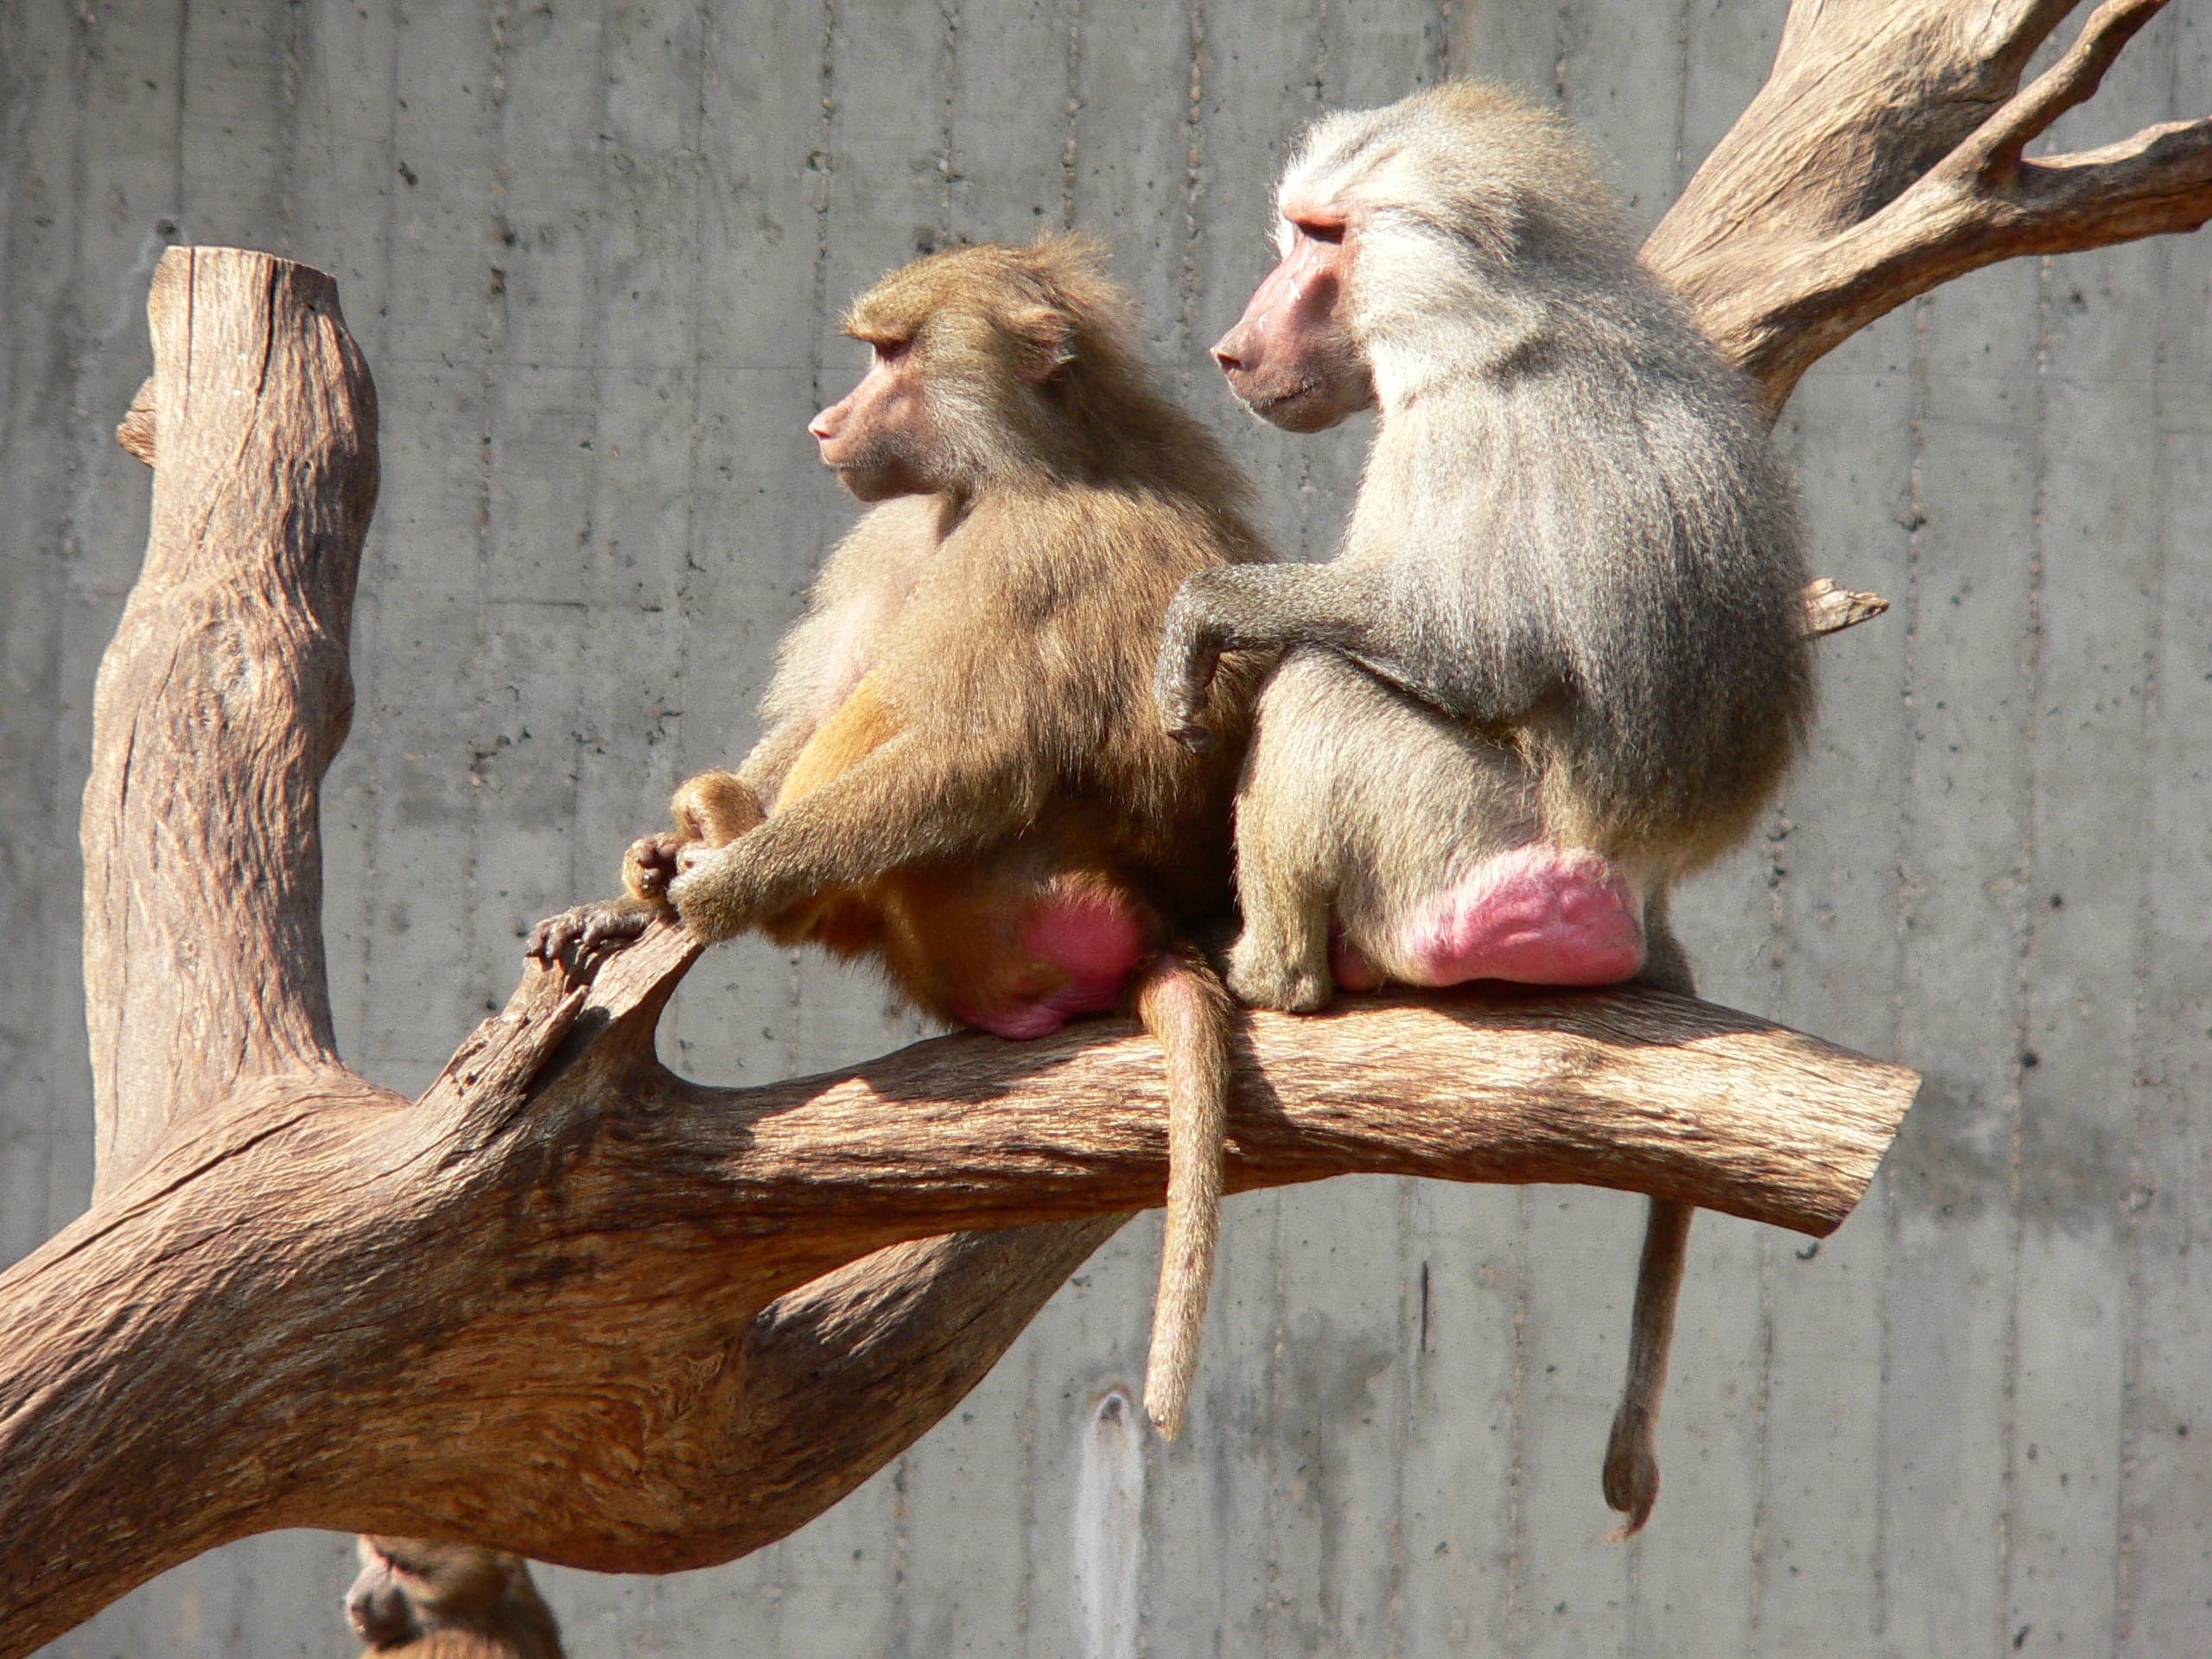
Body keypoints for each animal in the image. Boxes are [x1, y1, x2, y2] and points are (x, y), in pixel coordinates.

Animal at [530, 236, 1274, 1441]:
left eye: (891, 354)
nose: (824, 423)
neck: (1003, 471)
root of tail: (1158, 927)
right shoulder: (902, 529)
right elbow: (830, 693)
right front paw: (627, 899)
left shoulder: (1027, 555)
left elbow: (976, 753)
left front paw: (722, 888)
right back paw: (701, 828)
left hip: (1009, 894)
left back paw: (731, 844)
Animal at [1152, 82, 1814, 1534]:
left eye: (1325, 239)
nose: (1231, 348)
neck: (1495, 316)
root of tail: (1639, 888)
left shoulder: (1452, 426)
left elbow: (1471, 650)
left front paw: (1205, 619)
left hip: (1474, 825)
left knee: (1329, 690)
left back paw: (1283, 972)